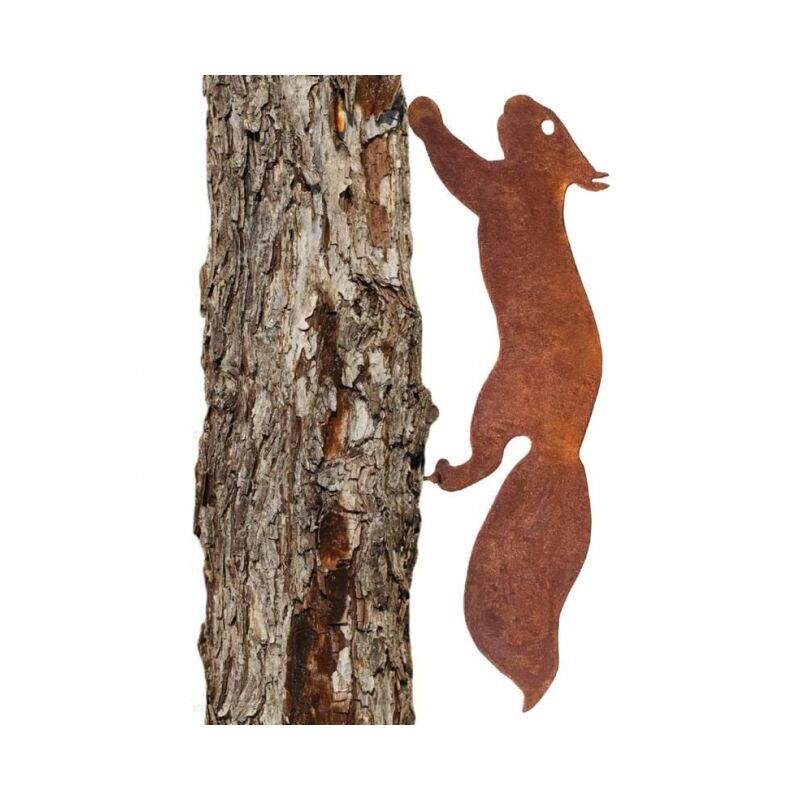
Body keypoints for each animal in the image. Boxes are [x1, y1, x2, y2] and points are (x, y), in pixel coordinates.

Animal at [408, 94, 606, 711]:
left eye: (546, 124)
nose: (515, 99)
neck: (543, 186)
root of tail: (562, 448)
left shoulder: (499, 190)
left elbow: (461, 170)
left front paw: (423, 114)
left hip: (494, 402)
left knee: (487, 460)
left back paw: (444, 473)